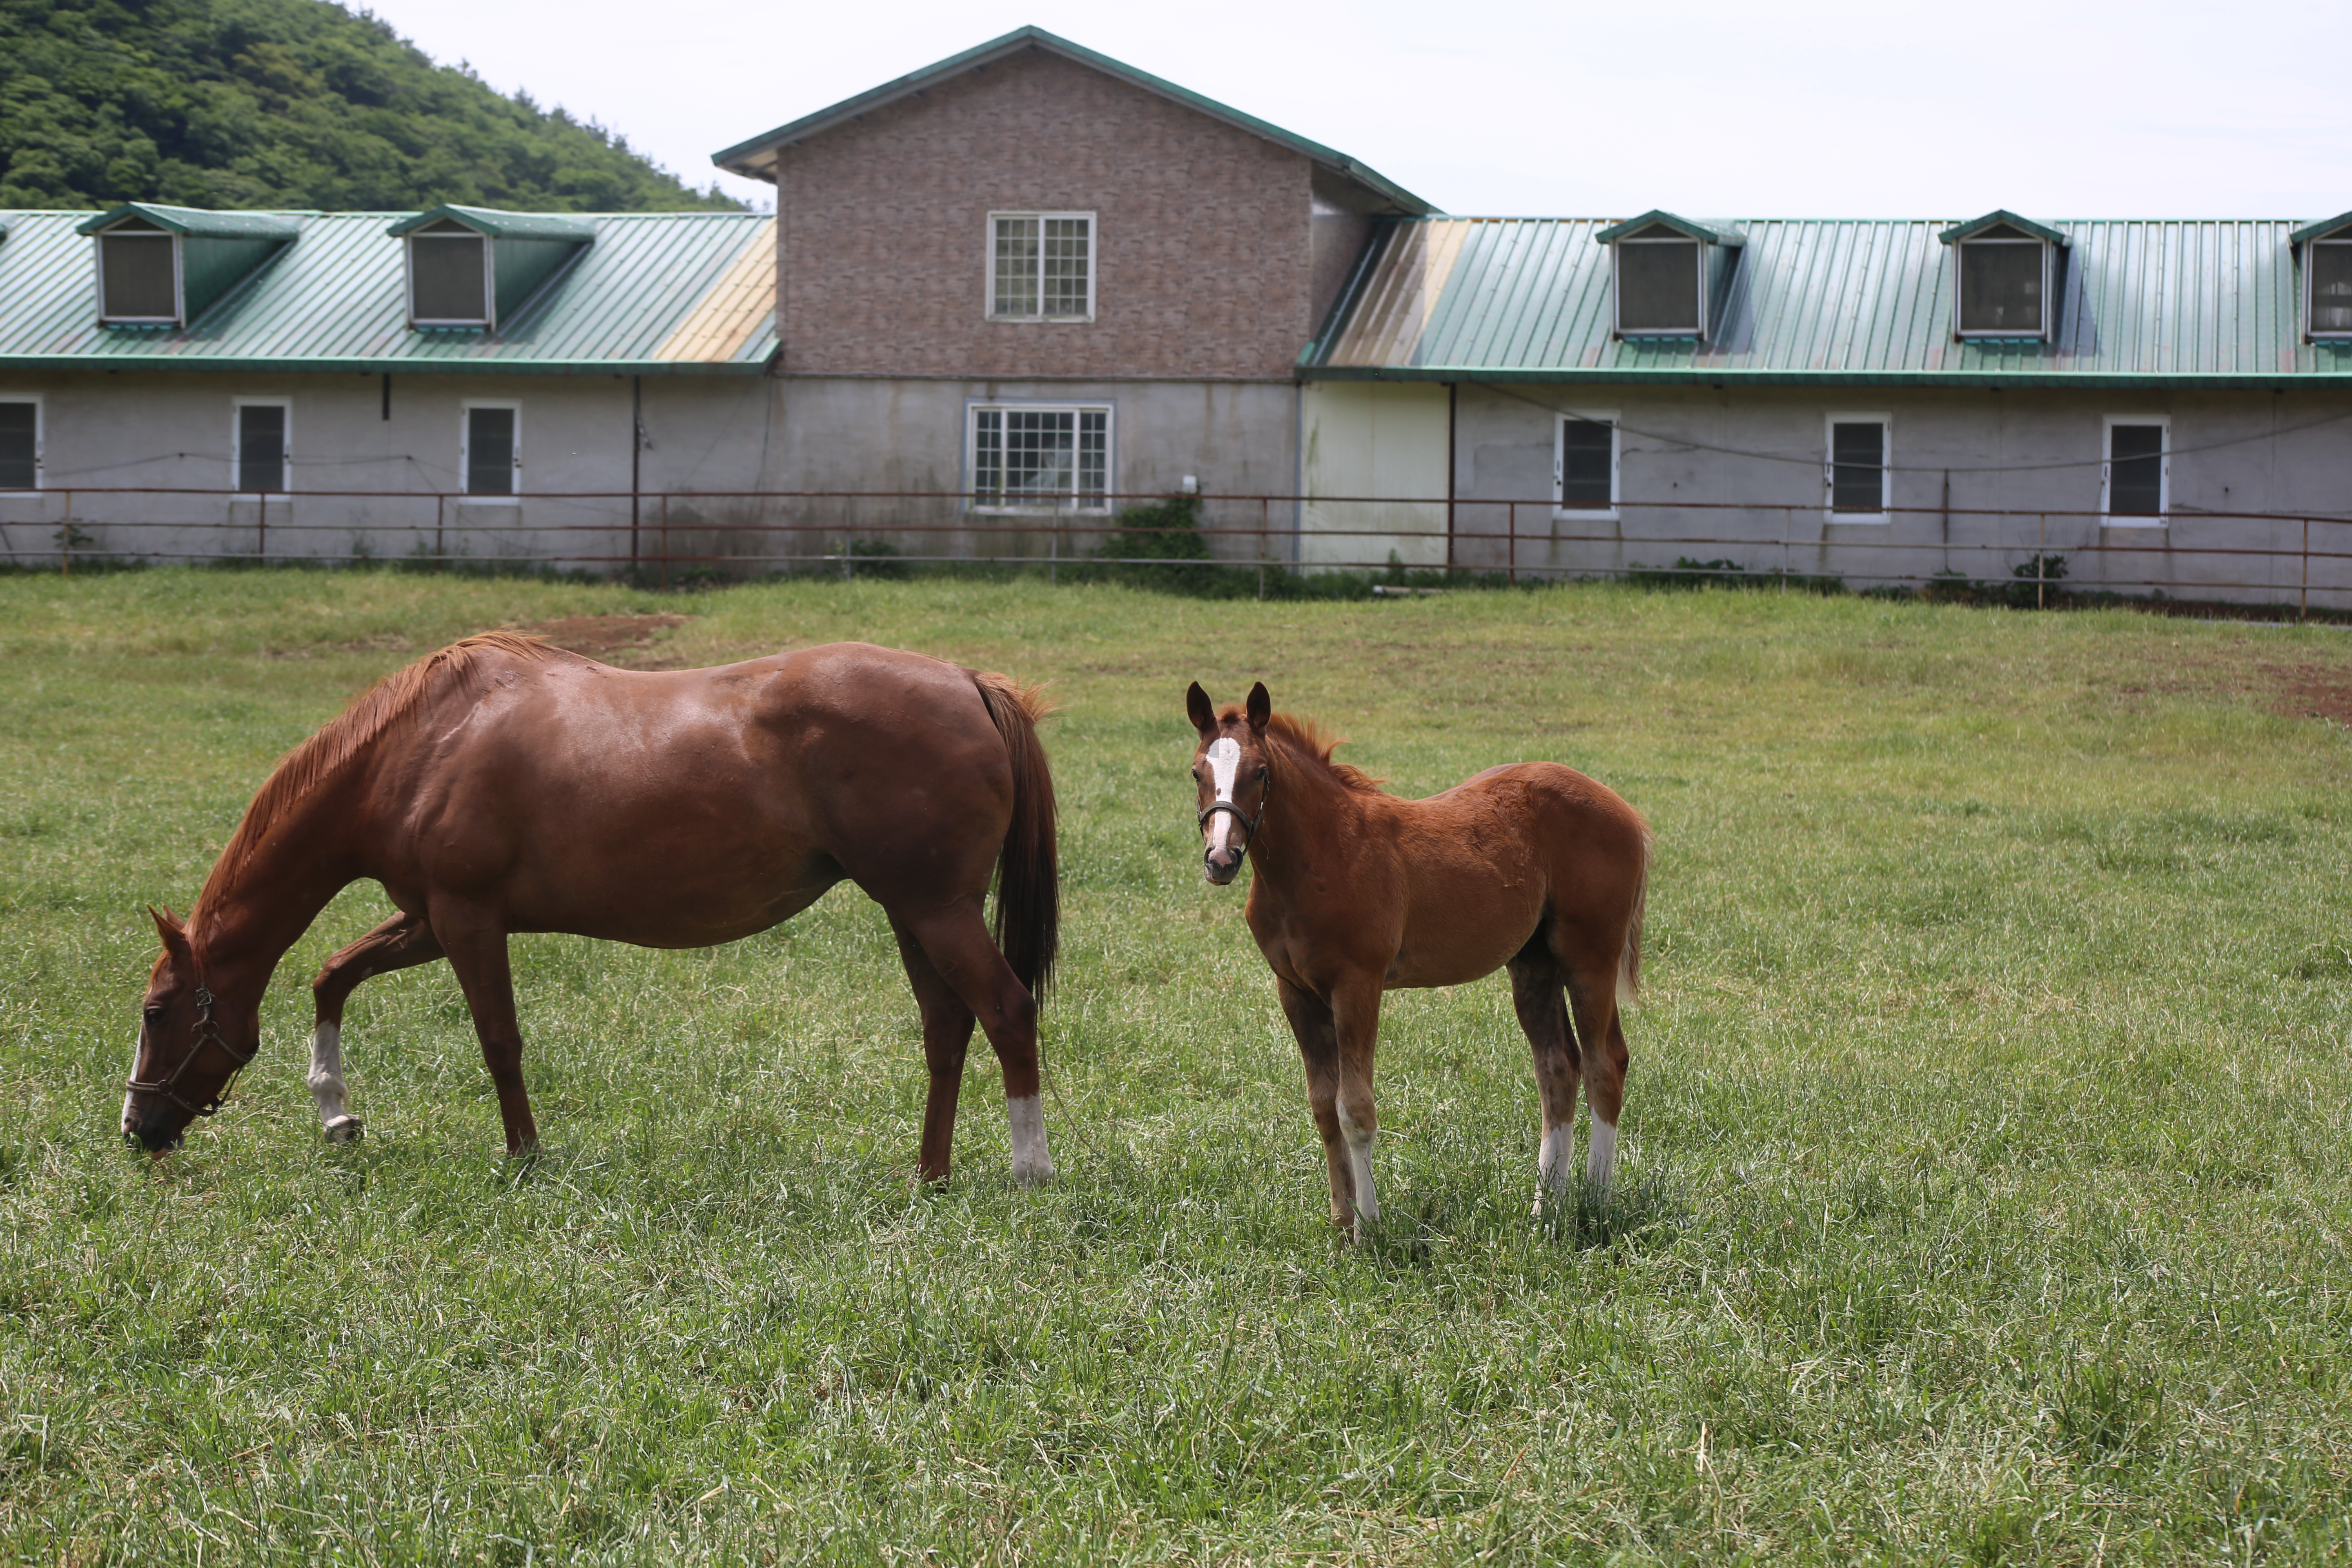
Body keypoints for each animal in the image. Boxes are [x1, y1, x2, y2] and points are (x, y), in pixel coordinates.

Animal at [119, 630, 1058, 1185]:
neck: (420, 747)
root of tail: (972, 683)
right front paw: (336, 1113)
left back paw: (1029, 1169)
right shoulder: (428, 920)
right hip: (913, 913)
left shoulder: (466, 918)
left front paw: (523, 1156)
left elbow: (499, 1042)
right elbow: (332, 975)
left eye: (158, 1011)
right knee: (947, 1028)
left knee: (1008, 1011)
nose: (137, 1127)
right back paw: (930, 1172)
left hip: (936, 910)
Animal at [1185, 682, 1646, 1232]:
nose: (1221, 860)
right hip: (1534, 963)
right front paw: (1341, 1224)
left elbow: (1355, 1110)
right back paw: (1544, 1209)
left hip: (1590, 958)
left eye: (1259, 772)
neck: (1321, 853)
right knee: (1558, 1067)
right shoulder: (1294, 991)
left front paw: (1370, 1228)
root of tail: (1626, 810)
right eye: (1196, 772)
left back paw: (1596, 1203)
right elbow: (1323, 1108)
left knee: (1605, 1063)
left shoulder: (1357, 985)